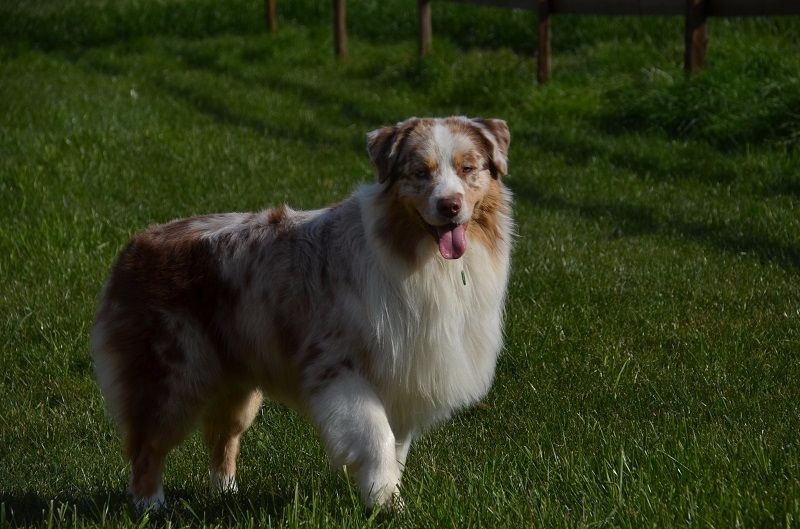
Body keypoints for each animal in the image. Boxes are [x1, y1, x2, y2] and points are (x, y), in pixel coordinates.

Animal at [87, 116, 512, 512]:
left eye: (468, 168)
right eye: (420, 172)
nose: (449, 206)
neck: (422, 259)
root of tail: (137, 243)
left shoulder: (405, 371)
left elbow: (397, 446)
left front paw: (383, 495)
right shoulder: (338, 368)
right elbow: (377, 437)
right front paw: (387, 503)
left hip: (237, 384)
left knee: (222, 438)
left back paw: (226, 494)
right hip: (172, 374)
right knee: (147, 444)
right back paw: (150, 505)